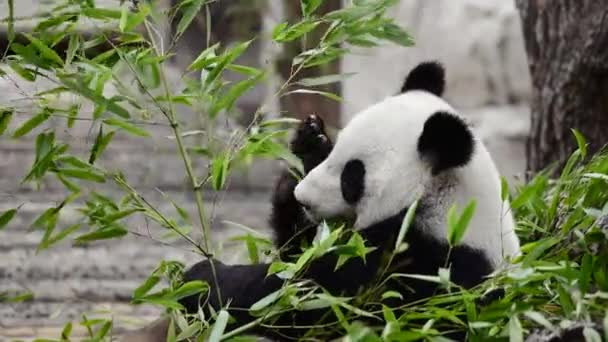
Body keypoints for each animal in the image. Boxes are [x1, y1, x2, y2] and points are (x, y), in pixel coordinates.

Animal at [122, 60, 516, 340]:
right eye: (336, 152)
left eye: (352, 176)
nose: (304, 197)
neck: (446, 205)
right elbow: (296, 255)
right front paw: (307, 147)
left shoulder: (416, 266)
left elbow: (298, 298)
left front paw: (199, 279)